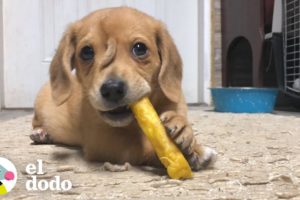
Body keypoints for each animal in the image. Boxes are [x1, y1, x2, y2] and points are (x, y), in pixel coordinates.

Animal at [30, 7, 216, 170]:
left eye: (140, 48)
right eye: (86, 52)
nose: (112, 89)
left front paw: (184, 129)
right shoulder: (104, 143)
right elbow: (142, 147)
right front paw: (188, 154)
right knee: (35, 122)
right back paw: (40, 133)